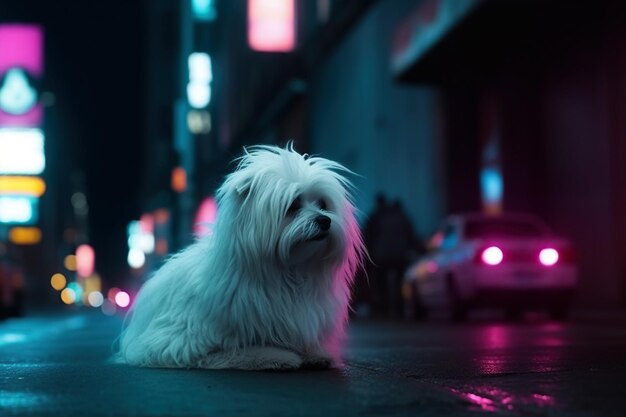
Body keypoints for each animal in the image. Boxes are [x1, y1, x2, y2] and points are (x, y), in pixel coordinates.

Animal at [114, 145, 364, 368]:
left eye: (322, 204)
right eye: (293, 205)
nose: (324, 220)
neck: (289, 271)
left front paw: (316, 354)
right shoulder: (177, 341)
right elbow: (234, 352)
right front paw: (276, 356)